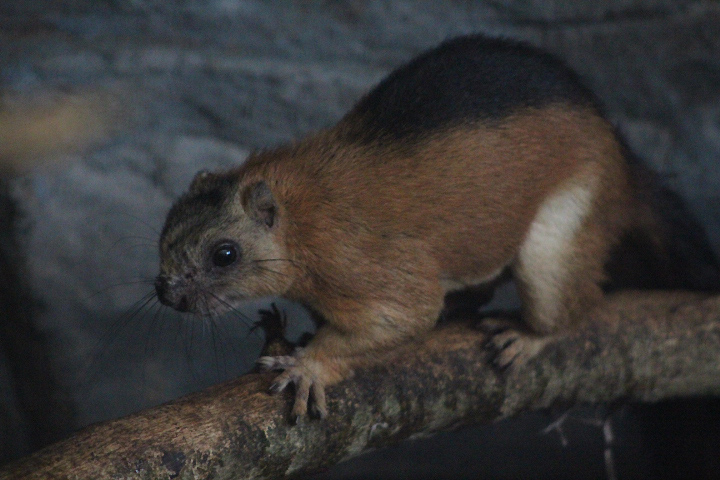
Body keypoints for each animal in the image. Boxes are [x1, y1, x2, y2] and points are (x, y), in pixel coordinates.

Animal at [155, 34, 720, 419]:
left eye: (224, 254)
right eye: (164, 231)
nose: (165, 293)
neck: (300, 218)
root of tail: (625, 162)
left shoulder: (373, 271)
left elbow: (399, 319)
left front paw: (307, 366)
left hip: (557, 242)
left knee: (573, 305)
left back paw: (526, 336)